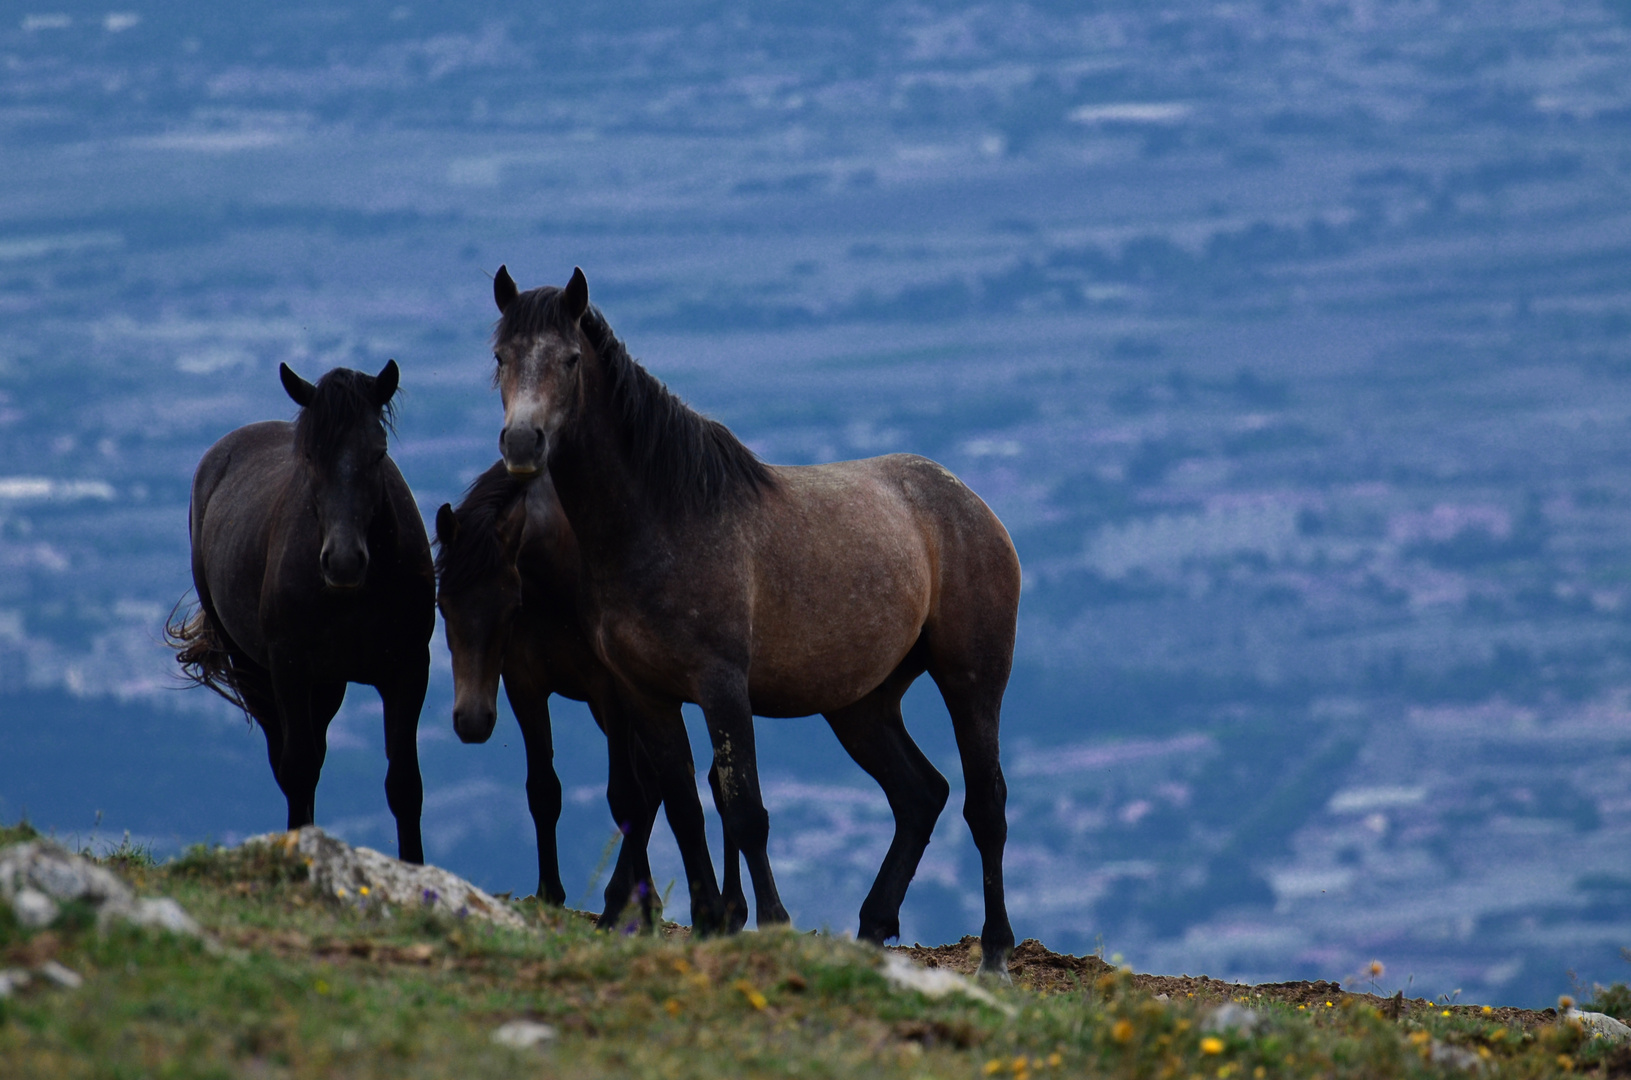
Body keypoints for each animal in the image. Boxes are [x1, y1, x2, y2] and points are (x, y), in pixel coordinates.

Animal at [172, 362, 433, 861]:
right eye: (310, 456)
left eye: (378, 454)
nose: (344, 561)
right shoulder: (289, 667)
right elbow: (298, 768)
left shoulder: (408, 668)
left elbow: (404, 783)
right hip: (252, 667)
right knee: (287, 758)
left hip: (327, 685)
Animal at [427, 466, 746, 933]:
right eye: (443, 604)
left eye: (510, 606)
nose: (471, 720)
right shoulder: (524, 686)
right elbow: (544, 790)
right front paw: (550, 895)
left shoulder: (610, 689)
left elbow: (625, 795)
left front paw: (624, 914)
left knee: (709, 785)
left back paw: (729, 908)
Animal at [482, 265, 1017, 978]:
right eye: (501, 358)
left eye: (569, 358)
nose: (522, 443)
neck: (660, 519)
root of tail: (972, 503)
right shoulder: (646, 693)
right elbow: (683, 804)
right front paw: (711, 920)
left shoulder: (721, 687)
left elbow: (743, 810)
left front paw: (770, 923)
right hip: (862, 705)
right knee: (919, 795)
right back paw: (872, 929)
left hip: (971, 682)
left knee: (985, 804)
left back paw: (995, 952)